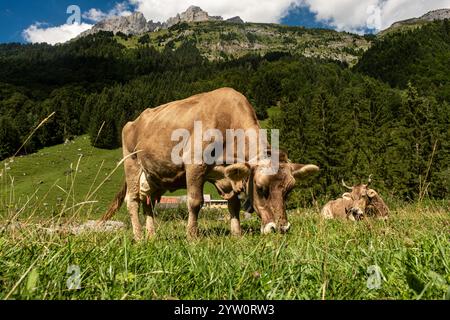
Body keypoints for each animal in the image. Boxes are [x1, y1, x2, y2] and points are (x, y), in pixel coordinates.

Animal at [102, 87, 320, 240]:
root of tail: (134, 121)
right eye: (260, 188)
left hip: (155, 177)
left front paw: (236, 234)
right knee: (133, 201)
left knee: (148, 203)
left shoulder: (225, 174)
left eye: (289, 190)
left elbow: (233, 203)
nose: (281, 228)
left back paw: (152, 236)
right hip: (132, 165)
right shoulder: (194, 164)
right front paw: (192, 236)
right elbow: (195, 201)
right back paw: (139, 237)